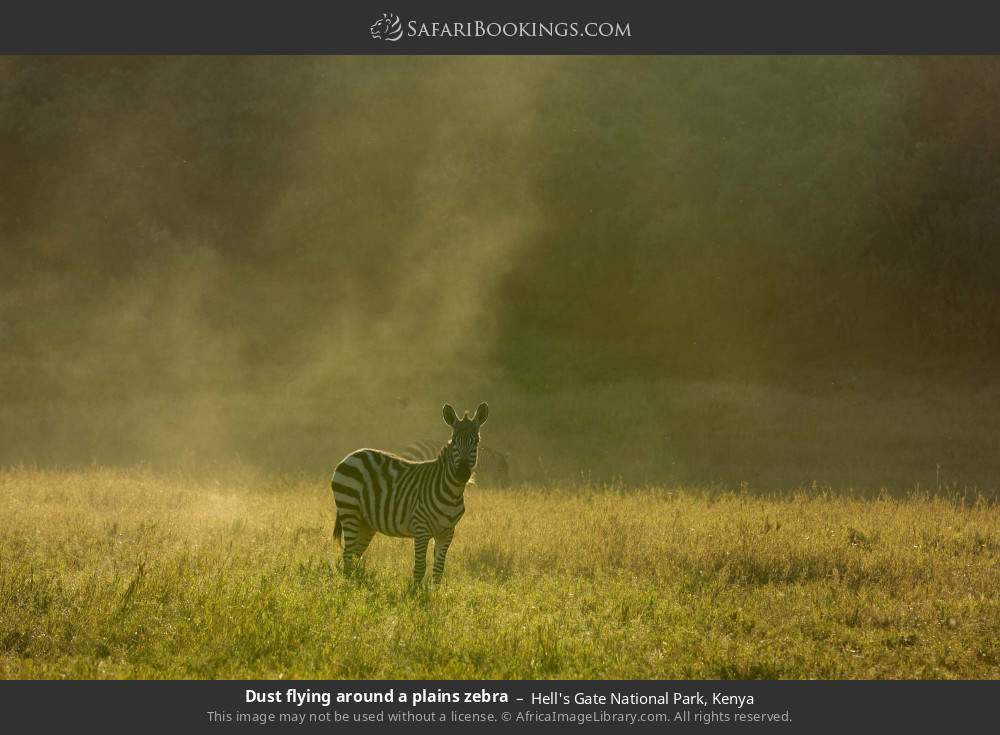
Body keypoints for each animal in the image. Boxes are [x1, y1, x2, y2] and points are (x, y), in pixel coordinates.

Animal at [331, 402, 489, 587]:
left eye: (476, 441)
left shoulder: (447, 532)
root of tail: (352, 455)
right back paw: (348, 588)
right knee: (348, 555)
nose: (462, 474)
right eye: (455, 441)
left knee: (355, 555)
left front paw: (434, 592)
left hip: (366, 522)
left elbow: (439, 570)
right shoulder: (421, 528)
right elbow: (420, 567)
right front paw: (415, 593)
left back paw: (356, 585)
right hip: (349, 510)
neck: (451, 492)